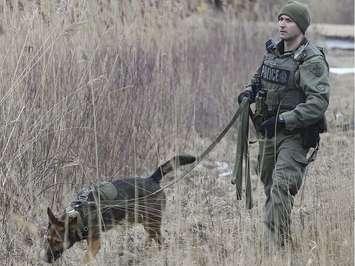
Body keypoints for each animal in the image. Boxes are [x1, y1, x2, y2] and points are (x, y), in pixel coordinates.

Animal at [42, 155, 197, 262]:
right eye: (47, 239)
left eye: (58, 242)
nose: (46, 260)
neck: (79, 213)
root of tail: (152, 178)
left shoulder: (95, 242)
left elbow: (85, 259)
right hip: (145, 222)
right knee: (152, 238)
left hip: (152, 222)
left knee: (160, 241)